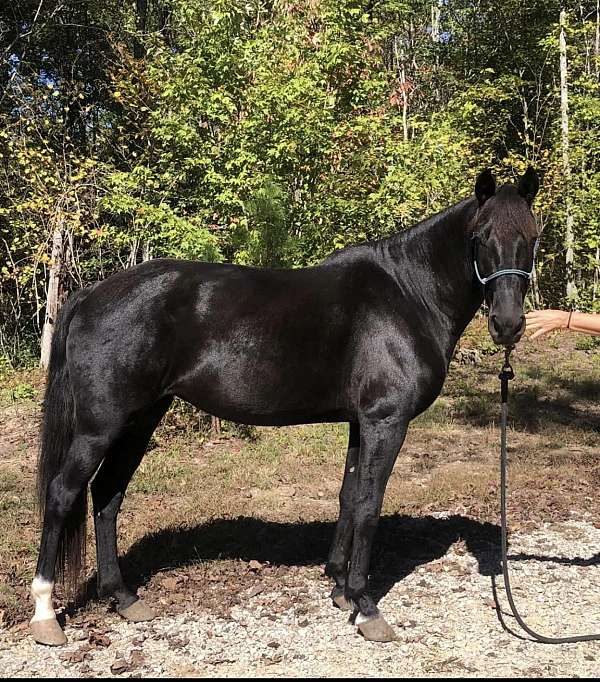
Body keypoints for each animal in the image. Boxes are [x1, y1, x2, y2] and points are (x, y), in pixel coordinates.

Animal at [30, 167, 540, 646]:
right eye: (480, 237)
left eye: (532, 235)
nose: (508, 324)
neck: (407, 295)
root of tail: (91, 295)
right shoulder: (385, 421)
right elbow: (370, 504)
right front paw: (367, 608)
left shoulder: (361, 422)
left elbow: (349, 496)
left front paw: (340, 588)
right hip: (100, 426)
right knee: (63, 494)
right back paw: (45, 615)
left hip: (140, 419)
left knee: (107, 495)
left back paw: (123, 597)